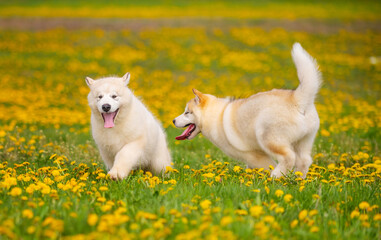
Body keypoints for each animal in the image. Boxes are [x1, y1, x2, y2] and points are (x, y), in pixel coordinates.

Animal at [174, 43, 320, 178]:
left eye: (187, 112)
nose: (173, 120)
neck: (216, 116)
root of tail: (297, 99)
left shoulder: (253, 155)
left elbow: (267, 165)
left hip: (268, 137)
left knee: (289, 157)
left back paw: (276, 177)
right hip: (304, 141)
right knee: (304, 160)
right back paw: (297, 179)